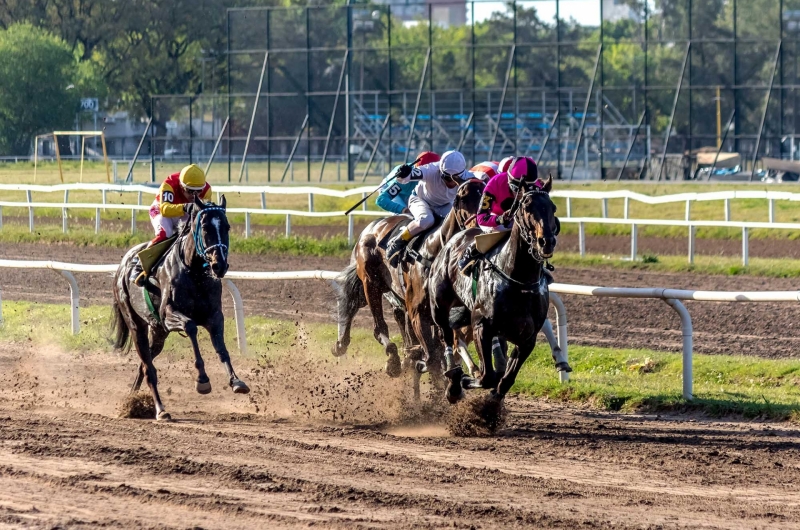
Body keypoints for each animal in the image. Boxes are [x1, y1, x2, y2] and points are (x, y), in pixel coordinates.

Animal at [332, 179, 488, 378]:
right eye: (462, 198)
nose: (479, 228)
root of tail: (372, 226)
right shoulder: (417, 313)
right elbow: (433, 357)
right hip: (371, 283)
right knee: (377, 325)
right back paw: (389, 359)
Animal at [432, 175, 568, 402]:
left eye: (553, 207)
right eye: (526, 206)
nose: (546, 242)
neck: (519, 281)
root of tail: (454, 238)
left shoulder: (527, 337)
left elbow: (506, 379)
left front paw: (492, 402)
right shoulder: (481, 325)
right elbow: (487, 376)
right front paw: (466, 380)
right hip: (439, 305)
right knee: (447, 336)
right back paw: (453, 381)